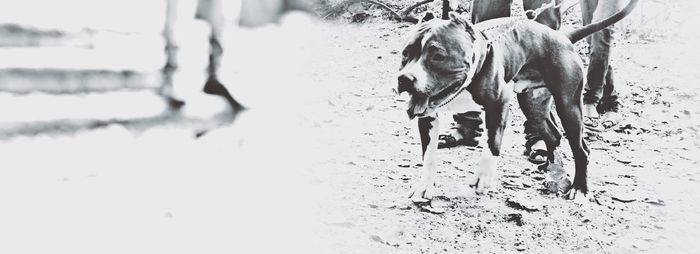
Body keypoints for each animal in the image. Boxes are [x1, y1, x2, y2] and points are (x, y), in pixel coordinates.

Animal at [396, 0, 636, 202]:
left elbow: (492, 143)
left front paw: (483, 177)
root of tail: (565, 37)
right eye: (405, 53)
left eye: (438, 56)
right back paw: (550, 168)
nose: (405, 79)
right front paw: (424, 187)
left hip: (568, 107)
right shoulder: (427, 117)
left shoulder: (499, 104)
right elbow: (428, 155)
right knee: (553, 135)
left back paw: (579, 188)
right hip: (533, 105)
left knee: (581, 150)